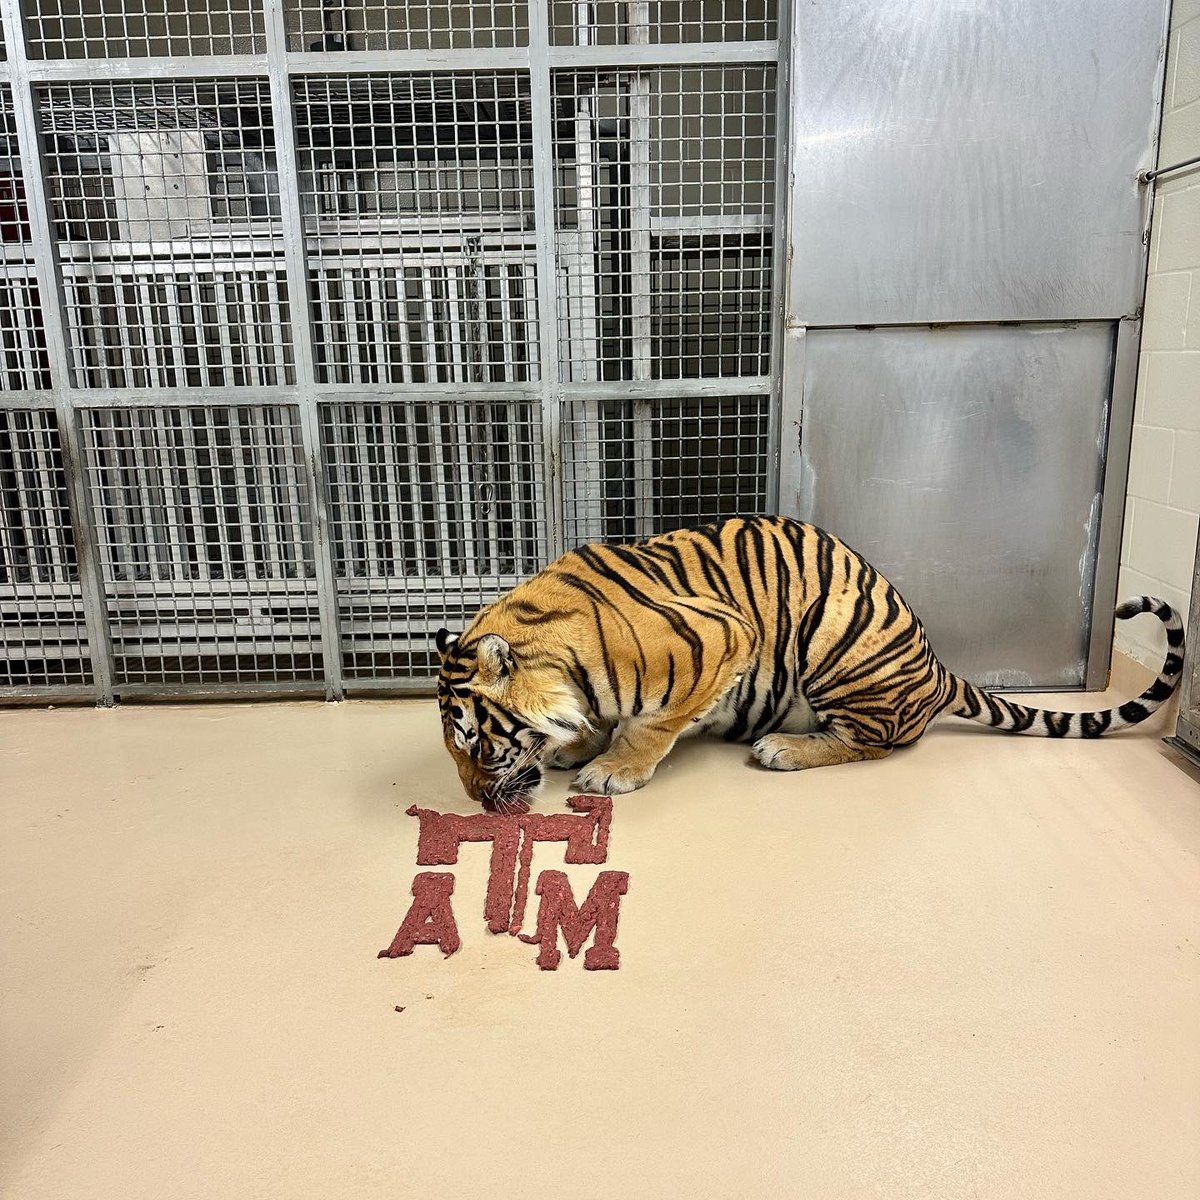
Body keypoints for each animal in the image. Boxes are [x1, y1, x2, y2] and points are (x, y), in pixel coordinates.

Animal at [434, 516, 1185, 813]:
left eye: (479, 748)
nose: (472, 803)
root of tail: (937, 664)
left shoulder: (720, 638)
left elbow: (651, 724)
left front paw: (612, 768)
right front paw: (577, 744)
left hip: (832, 639)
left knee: (875, 743)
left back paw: (784, 749)